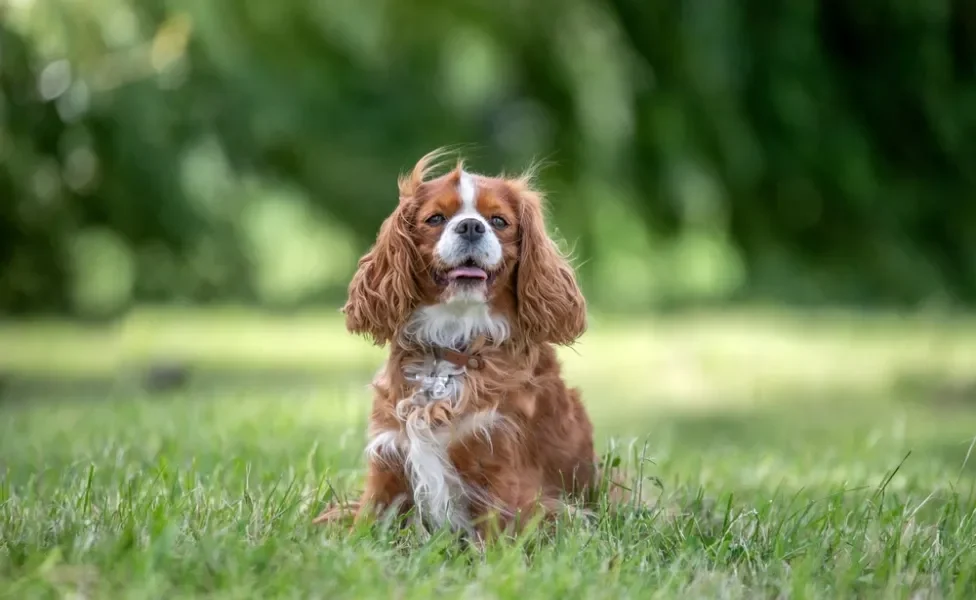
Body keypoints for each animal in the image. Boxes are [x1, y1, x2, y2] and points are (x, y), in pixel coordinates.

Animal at [316, 150, 600, 540]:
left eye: (499, 221)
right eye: (435, 218)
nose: (470, 226)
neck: (452, 344)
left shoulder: (500, 460)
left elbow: (496, 534)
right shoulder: (389, 457)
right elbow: (365, 523)